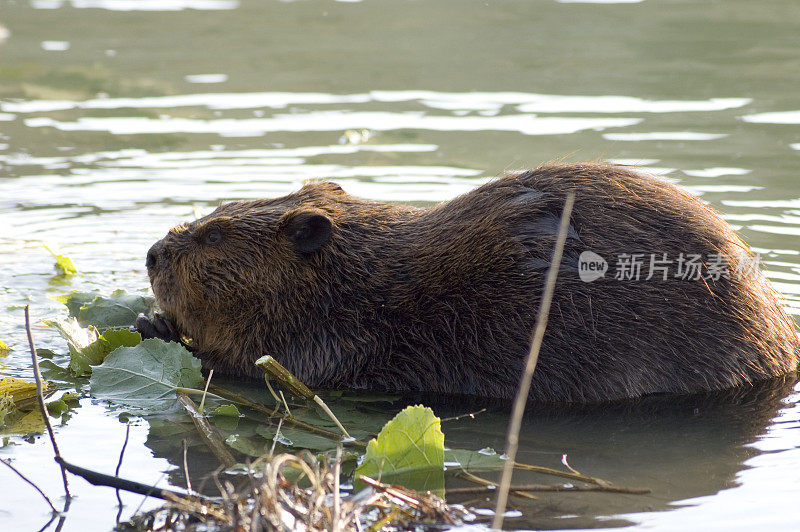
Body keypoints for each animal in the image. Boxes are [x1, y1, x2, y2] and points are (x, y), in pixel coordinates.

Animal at [139, 163, 800, 404]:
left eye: (214, 235)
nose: (150, 253)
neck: (359, 272)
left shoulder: (336, 335)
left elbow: (262, 365)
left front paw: (156, 325)